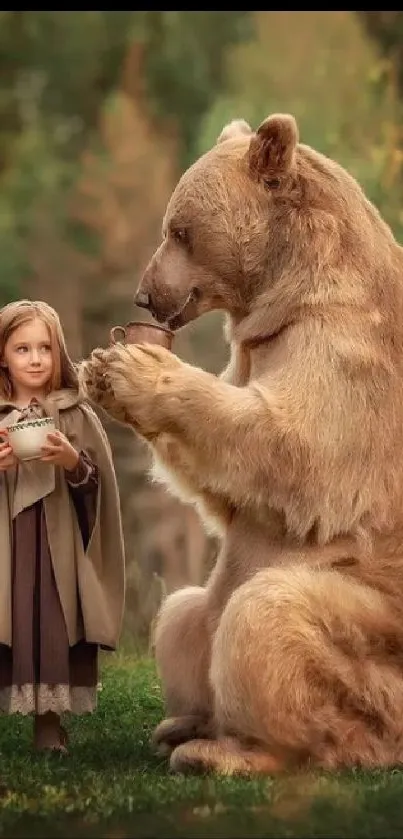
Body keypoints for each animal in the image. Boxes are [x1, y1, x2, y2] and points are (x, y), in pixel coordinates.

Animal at [79, 115, 403, 776]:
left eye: (180, 230)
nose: (145, 298)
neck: (286, 295)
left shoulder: (345, 351)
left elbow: (293, 447)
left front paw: (137, 368)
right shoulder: (260, 348)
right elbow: (229, 496)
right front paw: (103, 371)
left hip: (376, 633)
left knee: (267, 616)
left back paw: (233, 751)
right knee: (182, 614)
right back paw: (183, 723)